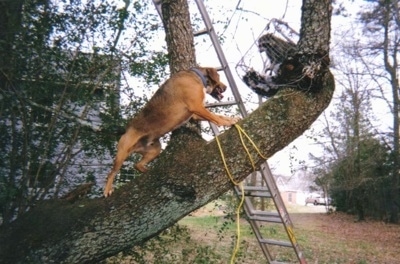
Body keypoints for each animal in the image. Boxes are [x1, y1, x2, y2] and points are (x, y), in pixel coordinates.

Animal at [104, 67, 239, 197]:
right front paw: (228, 123)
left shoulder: (195, 114)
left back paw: (147, 171)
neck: (197, 76)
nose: (226, 87)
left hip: (155, 150)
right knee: (112, 173)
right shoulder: (197, 107)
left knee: (137, 165)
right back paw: (107, 190)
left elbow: (218, 116)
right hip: (122, 154)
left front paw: (231, 119)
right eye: (219, 76)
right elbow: (216, 118)